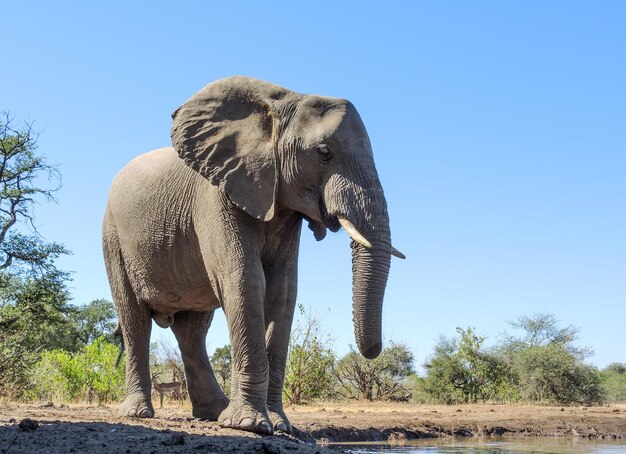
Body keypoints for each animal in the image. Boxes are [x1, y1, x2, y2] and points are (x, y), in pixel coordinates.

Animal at [101, 76, 404, 434]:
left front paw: (280, 426)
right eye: (324, 153)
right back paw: (138, 413)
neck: (279, 105)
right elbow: (246, 281)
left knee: (192, 329)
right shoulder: (217, 196)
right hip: (113, 238)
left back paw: (213, 412)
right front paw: (249, 425)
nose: (372, 352)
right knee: (134, 317)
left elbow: (283, 293)